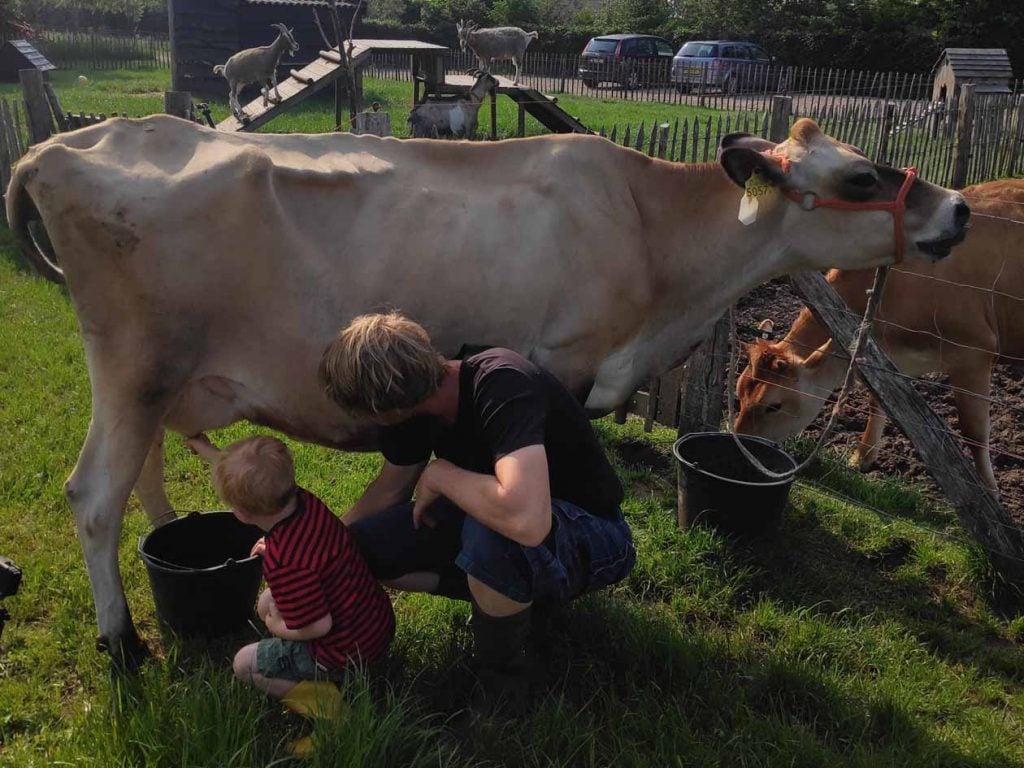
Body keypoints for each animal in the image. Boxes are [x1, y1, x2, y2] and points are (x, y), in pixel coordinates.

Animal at [733, 180, 1019, 489]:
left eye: (773, 405)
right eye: (739, 392)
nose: (742, 446)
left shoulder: (974, 351)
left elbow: (975, 432)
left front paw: (988, 490)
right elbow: (878, 401)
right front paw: (862, 457)